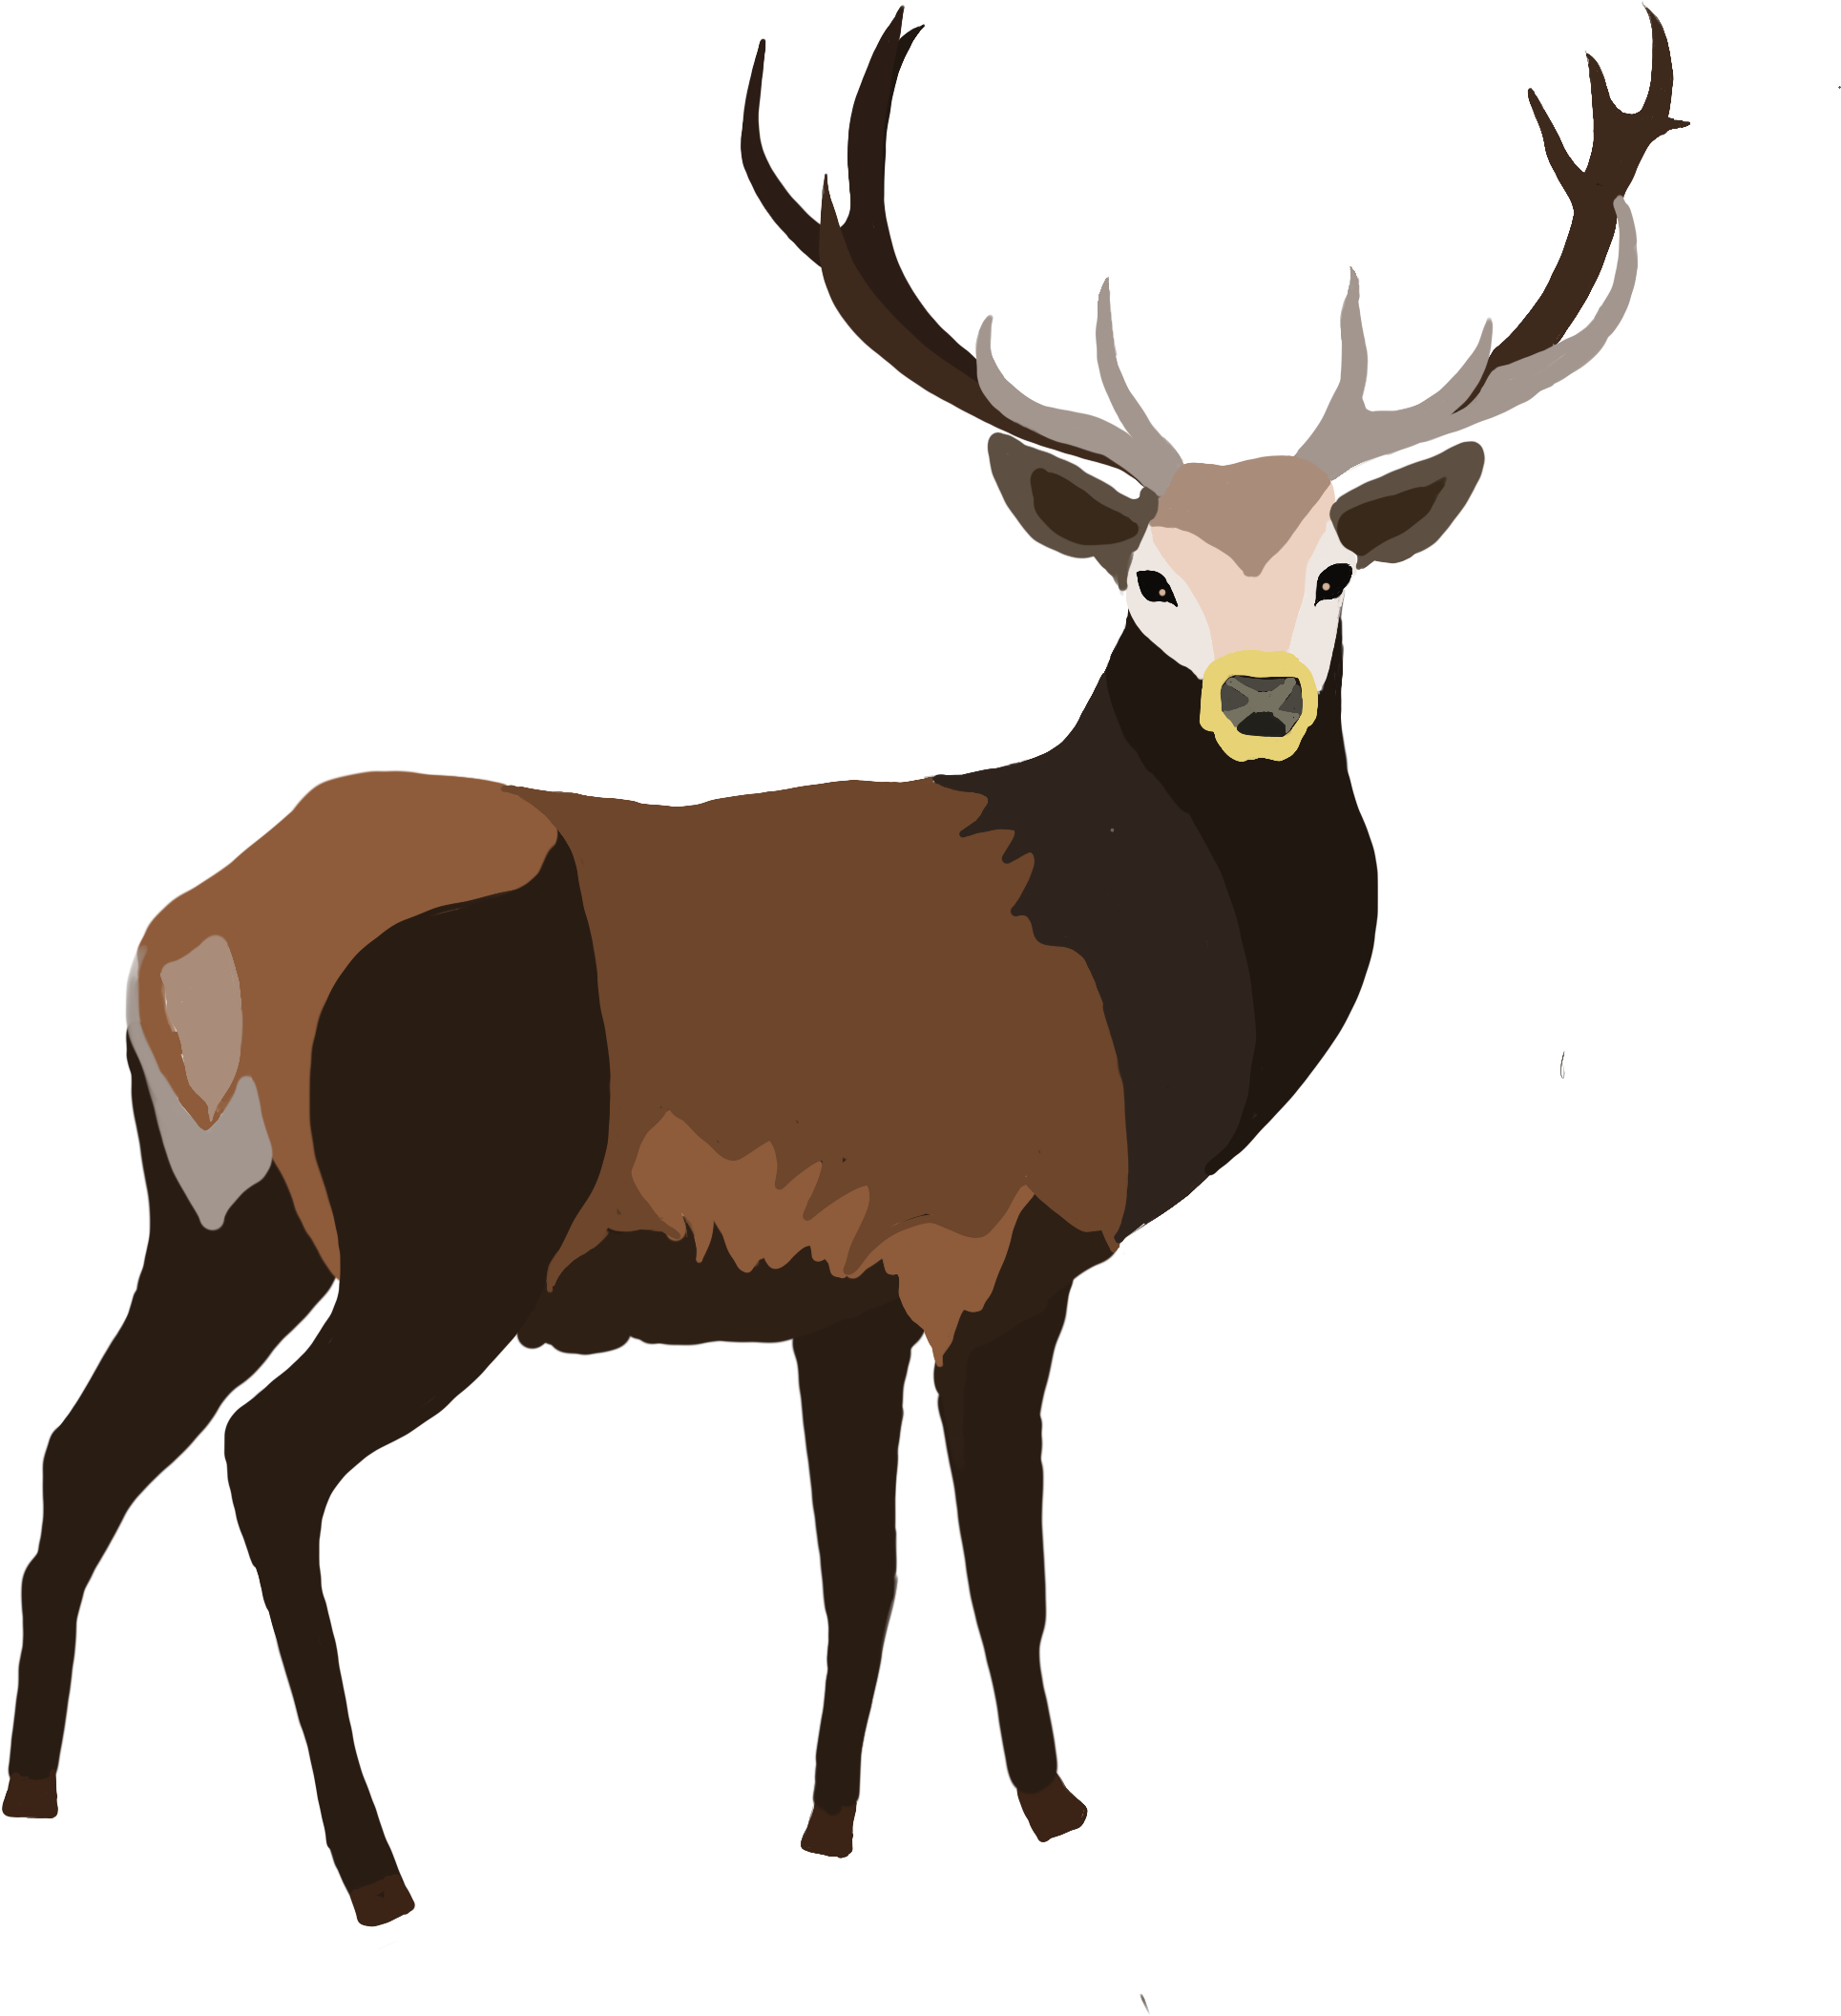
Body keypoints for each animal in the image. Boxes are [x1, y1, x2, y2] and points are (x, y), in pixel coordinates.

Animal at [4, 5, 1684, 1931]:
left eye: (1336, 572)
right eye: (1147, 581)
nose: (1258, 702)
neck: (1129, 978)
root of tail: (196, 942)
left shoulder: (836, 1289)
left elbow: (859, 1566)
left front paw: (821, 1828)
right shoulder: (1001, 1249)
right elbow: (1004, 1560)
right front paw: (1053, 1810)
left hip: (215, 1210)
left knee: (86, 1445)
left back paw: (35, 1791)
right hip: (447, 1228)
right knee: (271, 1463)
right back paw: (376, 1874)